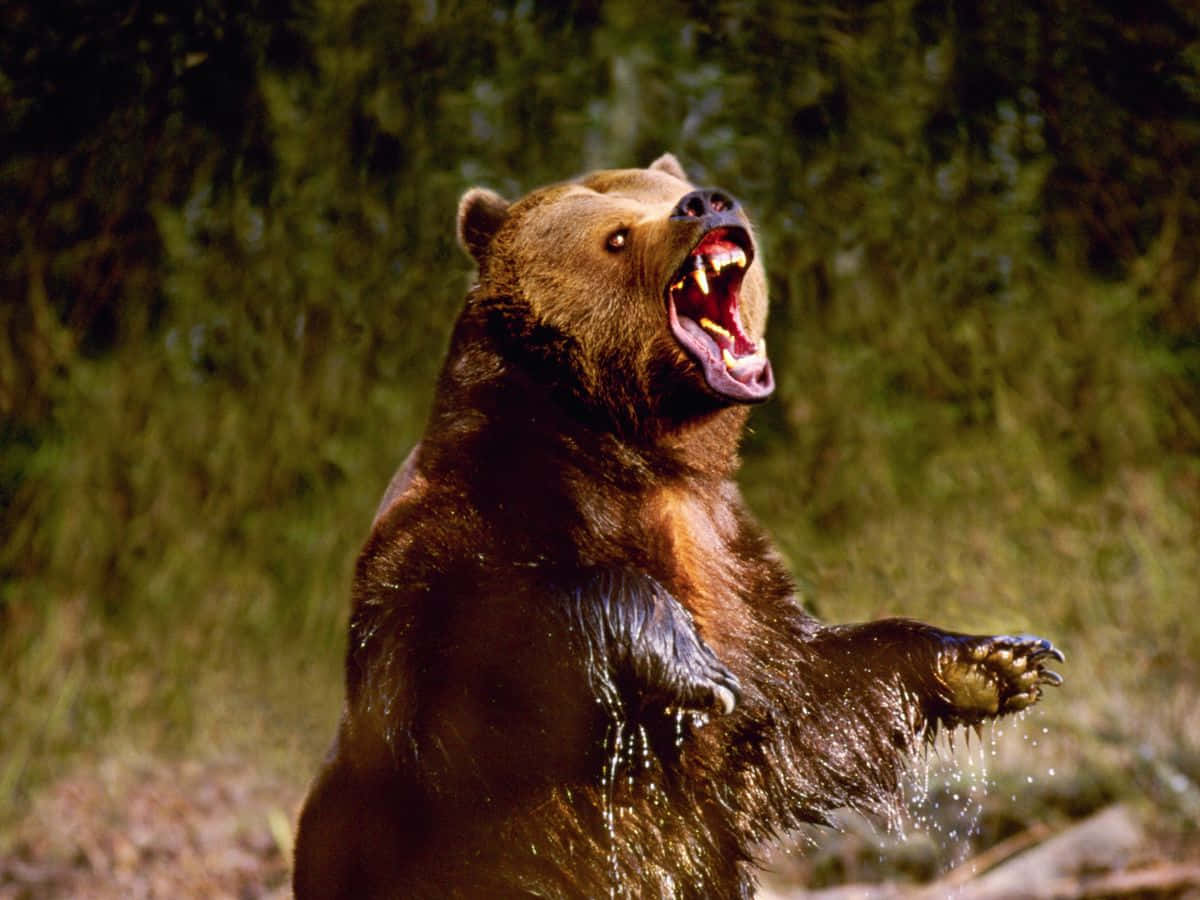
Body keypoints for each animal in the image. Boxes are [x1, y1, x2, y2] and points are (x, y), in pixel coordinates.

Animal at [292, 154, 1063, 899]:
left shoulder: (726, 559)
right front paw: (685, 662)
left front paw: (997, 661)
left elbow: (802, 694)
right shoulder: (458, 535)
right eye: (615, 236)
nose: (707, 203)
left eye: (671, 191)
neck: (630, 439)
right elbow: (471, 651)